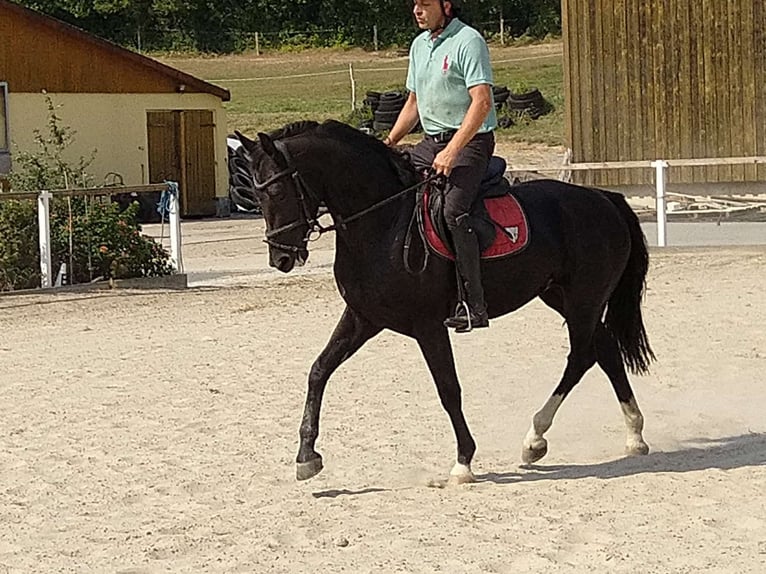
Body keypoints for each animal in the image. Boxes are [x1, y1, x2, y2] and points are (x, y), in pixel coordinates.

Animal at [237, 121, 656, 486]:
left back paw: (535, 438)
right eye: (255, 195)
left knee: (582, 356)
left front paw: (463, 463)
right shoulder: (362, 318)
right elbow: (318, 370)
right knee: (605, 350)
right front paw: (307, 457)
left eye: (277, 192)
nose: (281, 258)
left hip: (584, 299)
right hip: (563, 297)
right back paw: (633, 435)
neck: (382, 221)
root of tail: (602, 199)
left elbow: (448, 389)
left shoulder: (428, 326)